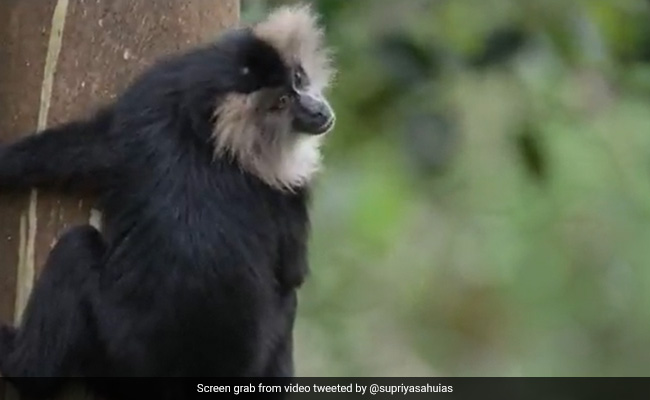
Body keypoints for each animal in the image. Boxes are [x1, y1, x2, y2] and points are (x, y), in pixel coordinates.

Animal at [0, 4, 334, 396]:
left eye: (298, 78)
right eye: (281, 102)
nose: (315, 109)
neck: (206, 131)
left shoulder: (152, 94)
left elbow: (81, 146)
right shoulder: (287, 185)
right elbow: (293, 271)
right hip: (115, 352)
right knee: (76, 249)